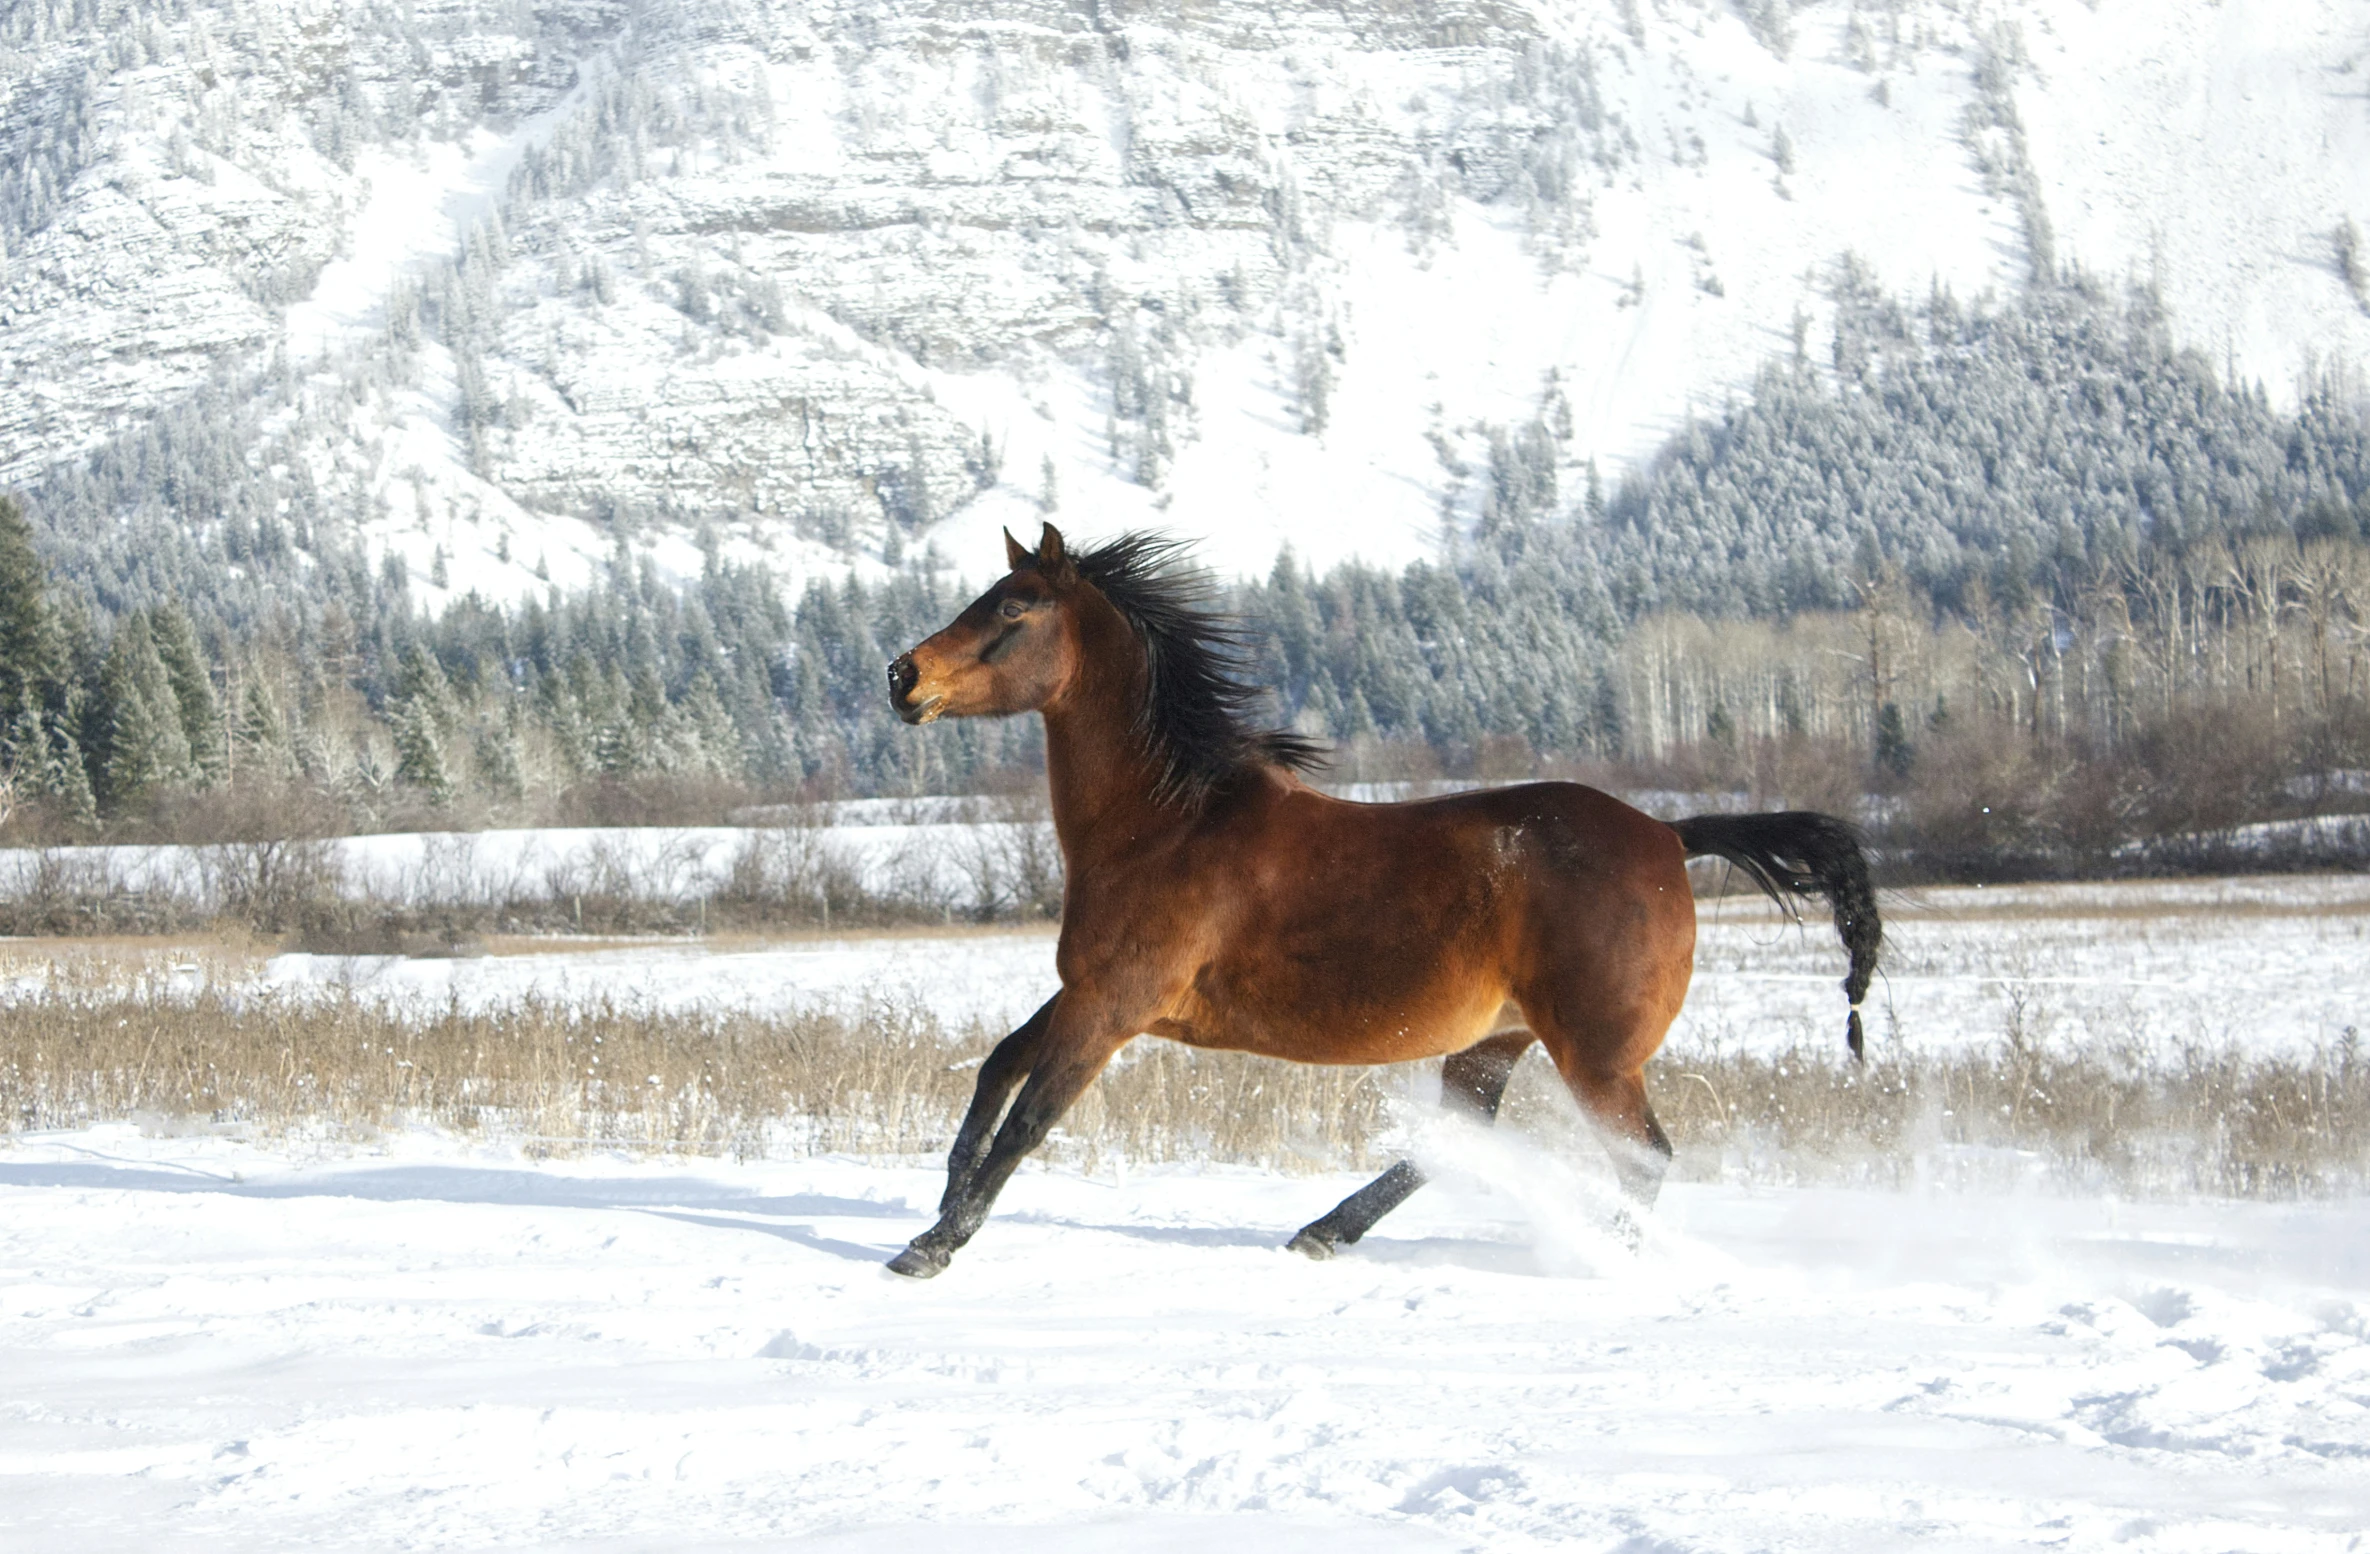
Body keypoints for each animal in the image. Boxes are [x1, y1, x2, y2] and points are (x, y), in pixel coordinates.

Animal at [881, 521, 1877, 1279]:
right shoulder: (1088, 992)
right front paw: (939, 1206)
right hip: (1499, 1040)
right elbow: (996, 1068)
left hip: (1596, 1059)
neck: (1169, 824)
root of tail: (1671, 835)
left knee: (1644, 1159)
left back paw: (1606, 1259)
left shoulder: (1114, 1005)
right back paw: (1323, 1232)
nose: (902, 677)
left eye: (1012, 608)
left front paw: (933, 1247)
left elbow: (1029, 1120)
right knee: (1459, 1139)